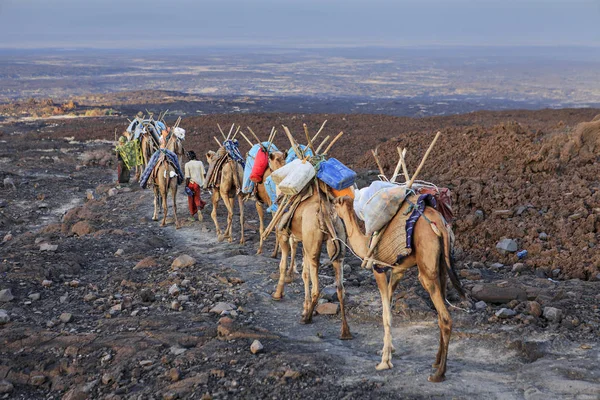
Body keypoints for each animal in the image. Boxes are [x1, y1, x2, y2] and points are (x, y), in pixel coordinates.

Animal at [270, 184, 350, 340]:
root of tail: (325, 213)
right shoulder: (304, 242)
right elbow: (305, 274)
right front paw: (304, 307)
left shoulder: (283, 234)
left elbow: (283, 265)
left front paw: (278, 294)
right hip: (336, 239)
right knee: (340, 288)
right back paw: (345, 332)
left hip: (312, 241)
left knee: (317, 288)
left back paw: (307, 318)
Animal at [332, 195, 464, 382]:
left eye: (335, 203)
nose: (330, 209)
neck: (366, 243)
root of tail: (440, 224)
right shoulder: (397, 271)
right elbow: (389, 306)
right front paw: (388, 350)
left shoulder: (378, 268)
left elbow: (385, 314)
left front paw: (384, 362)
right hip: (443, 265)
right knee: (441, 313)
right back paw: (436, 361)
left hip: (426, 268)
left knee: (445, 317)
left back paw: (439, 374)